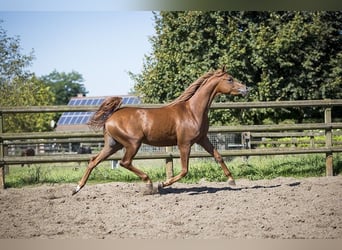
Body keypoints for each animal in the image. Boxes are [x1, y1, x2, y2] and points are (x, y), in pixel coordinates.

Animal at [73, 67, 248, 195]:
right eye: (230, 79)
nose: (246, 88)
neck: (192, 111)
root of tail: (111, 116)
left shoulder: (202, 139)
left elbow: (218, 156)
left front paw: (231, 180)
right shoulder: (184, 144)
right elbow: (184, 170)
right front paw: (162, 184)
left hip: (113, 144)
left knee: (93, 160)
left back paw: (77, 188)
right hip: (133, 144)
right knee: (124, 162)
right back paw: (150, 184)